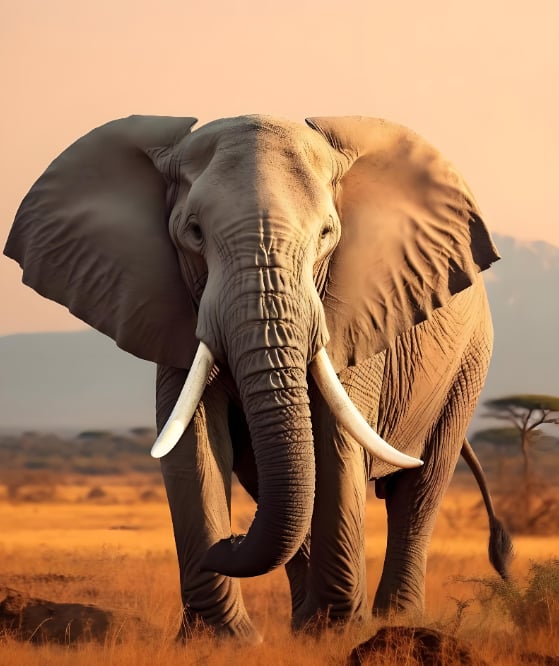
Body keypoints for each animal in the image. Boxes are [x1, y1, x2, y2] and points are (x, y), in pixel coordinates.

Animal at [4, 114, 512, 643]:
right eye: (193, 233)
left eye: (327, 234)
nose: (230, 540)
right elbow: (194, 444)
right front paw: (223, 641)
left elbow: (335, 443)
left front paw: (336, 633)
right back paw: (303, 625)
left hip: (468, 364)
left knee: (419, 489)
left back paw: (394, 621)